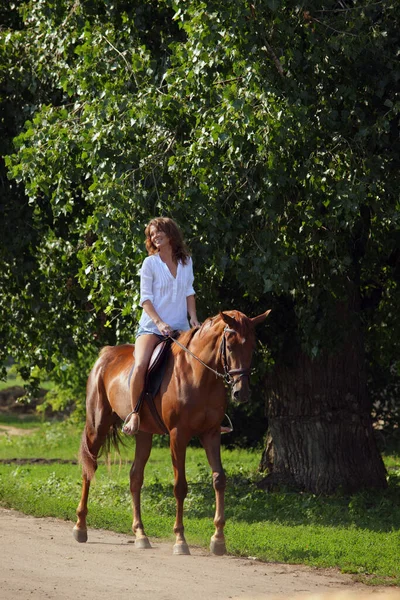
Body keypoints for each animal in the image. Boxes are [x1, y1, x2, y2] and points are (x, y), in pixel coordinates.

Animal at [73, 312, 270, 556]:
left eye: (252, 346)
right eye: (231, 346)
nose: (241, 393)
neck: (198, 375)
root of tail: (105, 355)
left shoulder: (211, 434)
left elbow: (219, 479)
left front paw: (218, 539)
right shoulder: (178, 435)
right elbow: (180, 486)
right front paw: (180, 540)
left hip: (143, 434)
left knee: (135, 477)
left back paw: (141, 534)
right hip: (97, 425)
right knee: (89, 468)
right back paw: (80, 527)